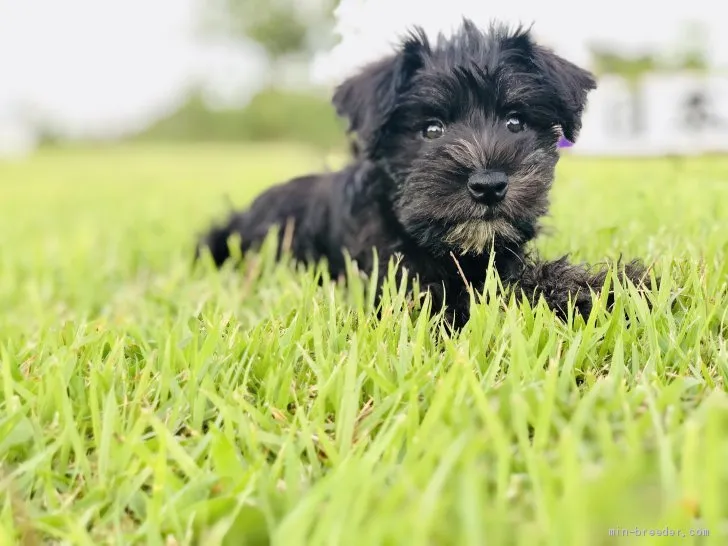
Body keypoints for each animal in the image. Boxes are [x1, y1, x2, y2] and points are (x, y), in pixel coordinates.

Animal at [196, 20, 652, 328]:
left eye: (515, 122)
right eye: (431, 129)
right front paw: (601, 289)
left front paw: (619, 284)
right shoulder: (409, 290)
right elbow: (496, 292)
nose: (489, 185)